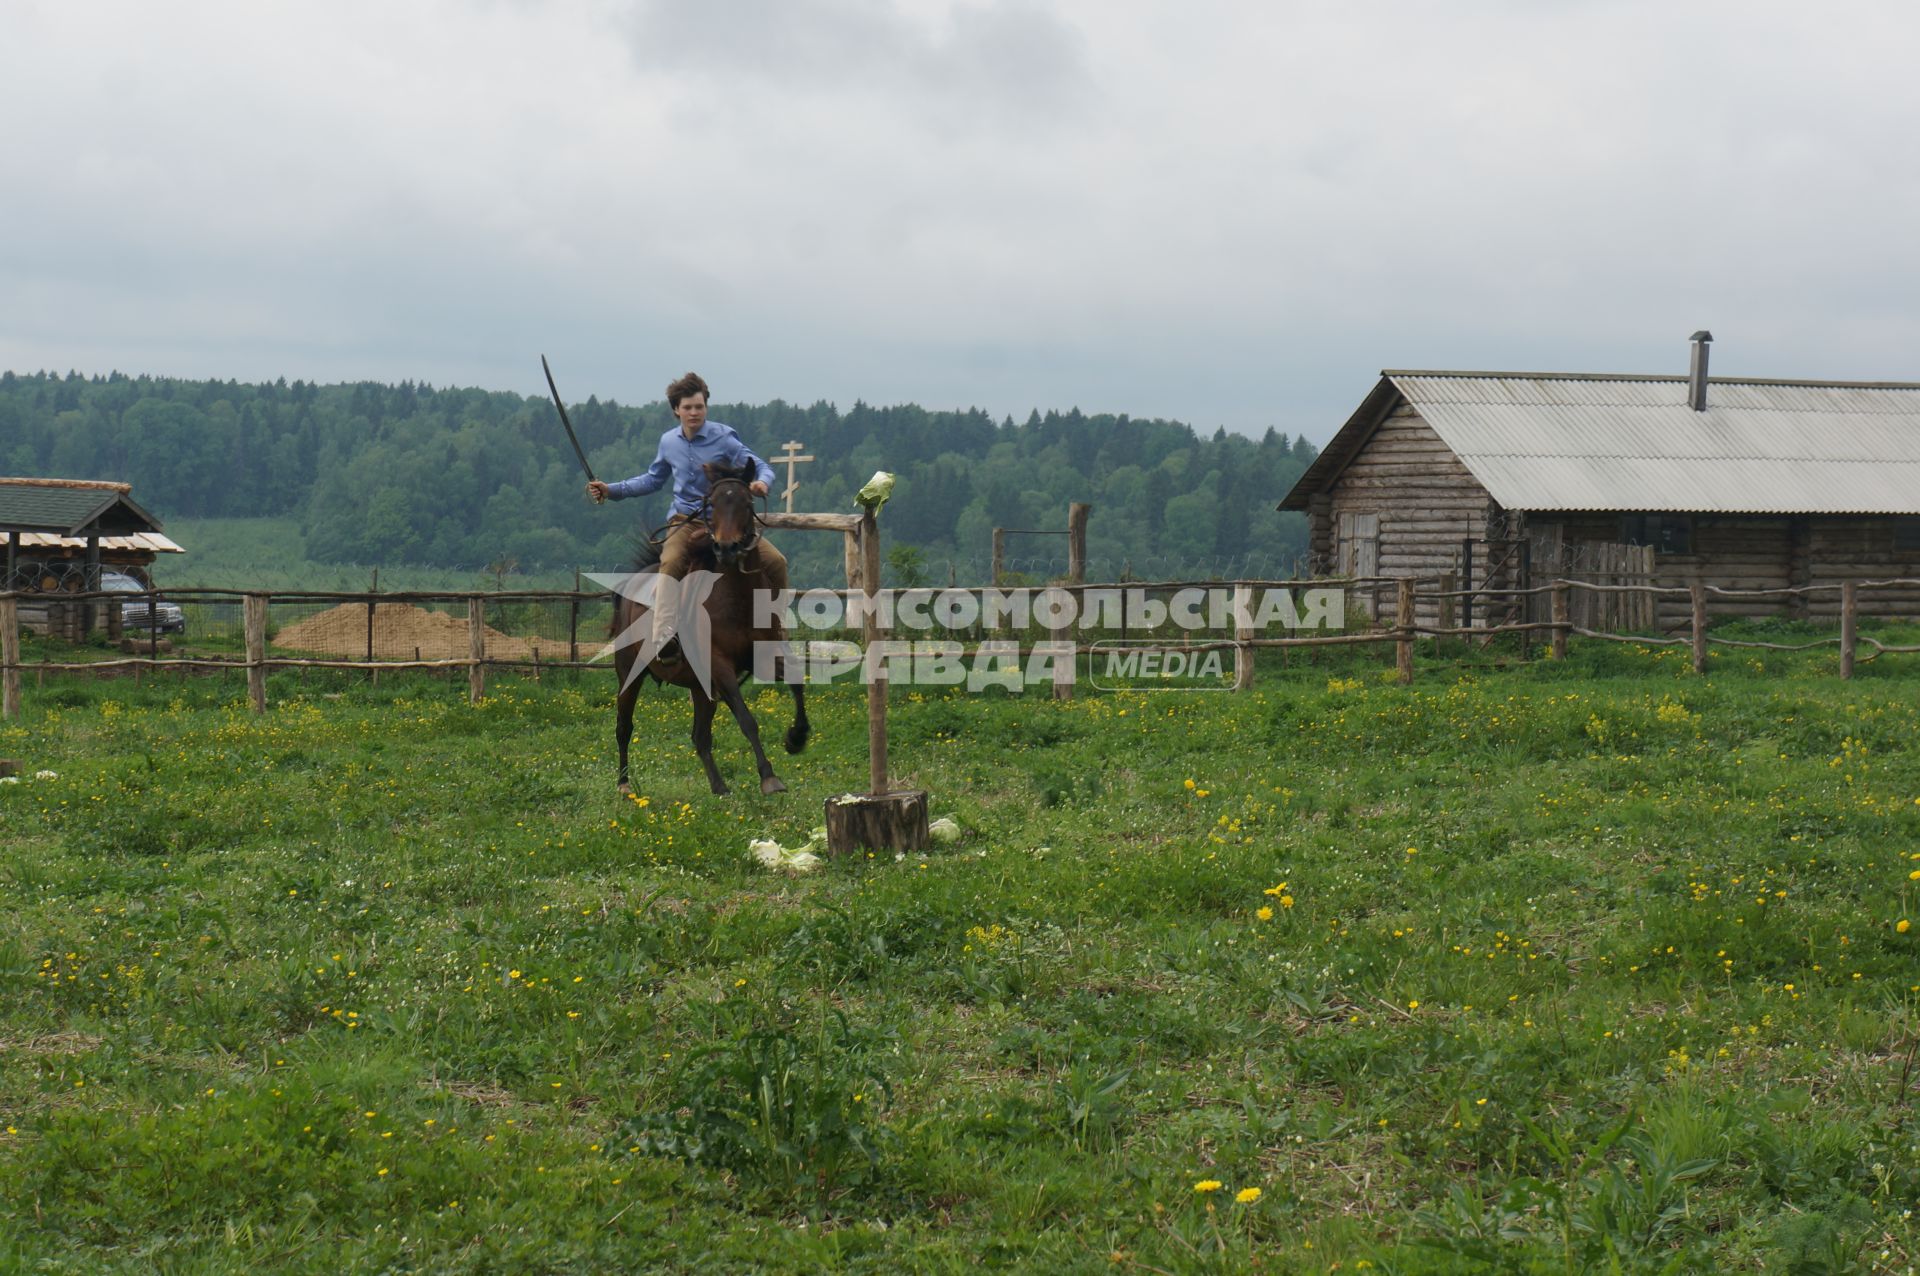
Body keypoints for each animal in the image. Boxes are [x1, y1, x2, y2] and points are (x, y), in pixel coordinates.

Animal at [614, 462, 810, 790]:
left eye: (746, 502)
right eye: (713, 503)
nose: (726, 547)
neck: (737, 598)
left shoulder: (764, 657)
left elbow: (796, 682)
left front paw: (796, 738)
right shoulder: (720, 666)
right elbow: (746, 719)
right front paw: (769, 777)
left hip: (700, 687)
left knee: (700, 737)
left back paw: (720, 788)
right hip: (629, 672)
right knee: (624, 727)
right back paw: (624, 785)